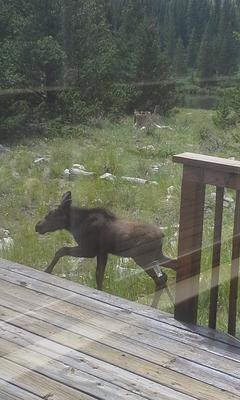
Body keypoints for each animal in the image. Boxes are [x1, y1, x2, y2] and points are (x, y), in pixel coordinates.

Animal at [35, 191, 177, 306]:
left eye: (51, 214)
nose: (37, 226)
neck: (75, 225)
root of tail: (162, 235)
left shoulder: (89, 250)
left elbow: (61, 250)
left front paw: (47, 270)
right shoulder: (102, 252)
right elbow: (99, 276)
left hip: (142, 258)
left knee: (160, 279)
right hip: (157, 255)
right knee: (168, 272)